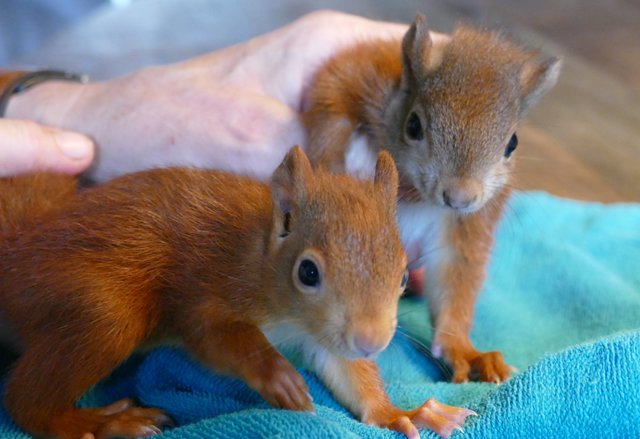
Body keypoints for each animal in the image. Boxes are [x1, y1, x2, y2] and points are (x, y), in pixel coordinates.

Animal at [0, 146, 474, 439]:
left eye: (402, 276)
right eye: (307, 272)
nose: (371, 341)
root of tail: (21, 245)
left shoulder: (325, 336)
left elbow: (349, 374)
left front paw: (403, 414)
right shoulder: (210, 285)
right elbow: (217, 336)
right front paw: (278, 375)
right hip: (100, 310)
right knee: (24, 402)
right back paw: (102, 423)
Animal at [302, 14, 561, 383]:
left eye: (512, 143)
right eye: (413, 125)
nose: (460, 197)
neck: (416, 195)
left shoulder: (470, 224)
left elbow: (455, 279)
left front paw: (463, 350)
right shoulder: (361, 72)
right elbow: (330, 98)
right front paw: (330, 164)